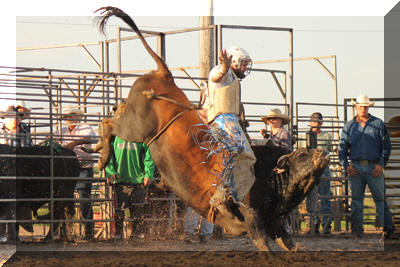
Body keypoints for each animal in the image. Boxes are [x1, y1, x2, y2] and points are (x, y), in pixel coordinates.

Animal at [93, 6, 328, 253]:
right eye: (301, 154)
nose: (322, 152)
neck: (270, 173)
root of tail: (164, 75)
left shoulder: (272, 221)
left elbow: (289, 244)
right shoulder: (252, 216)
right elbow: (263, 244)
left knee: (114, 118)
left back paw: (100, 146)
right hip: (135, 127)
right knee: (108, 124)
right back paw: (103, 157)